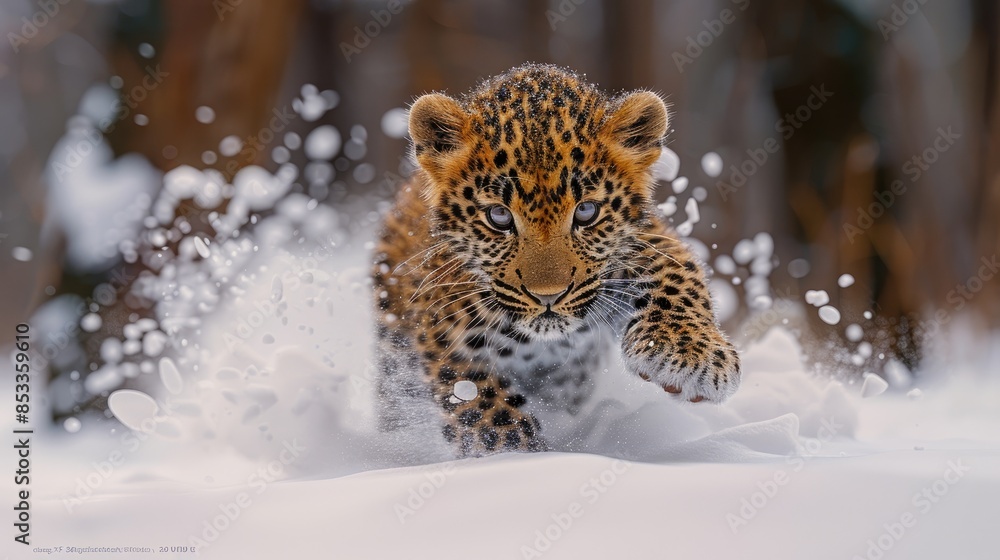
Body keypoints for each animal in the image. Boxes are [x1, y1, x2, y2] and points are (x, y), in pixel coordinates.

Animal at [371, 63, 741, 457]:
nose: (547, 296)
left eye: (587, 212)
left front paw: (690, 354)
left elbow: (677, 268)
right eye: (499, 216)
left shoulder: (641, 239)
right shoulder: (441, 330)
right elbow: (481, 405)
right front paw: (521, 456)